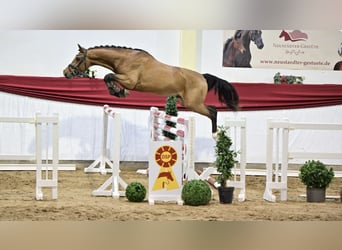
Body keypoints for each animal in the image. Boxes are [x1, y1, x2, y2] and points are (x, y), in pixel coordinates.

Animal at [65, 44, 240, 138]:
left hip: (194, 104)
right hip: (188, 102)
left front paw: (118, 92)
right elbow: (108, 77)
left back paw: (215, 135)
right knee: (212, 110)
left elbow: (108, 76)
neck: (125, 58)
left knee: (213, 111)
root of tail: (202, 77)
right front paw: (118, 92)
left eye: (77, 58)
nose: (65, 73)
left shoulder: (130, 81)